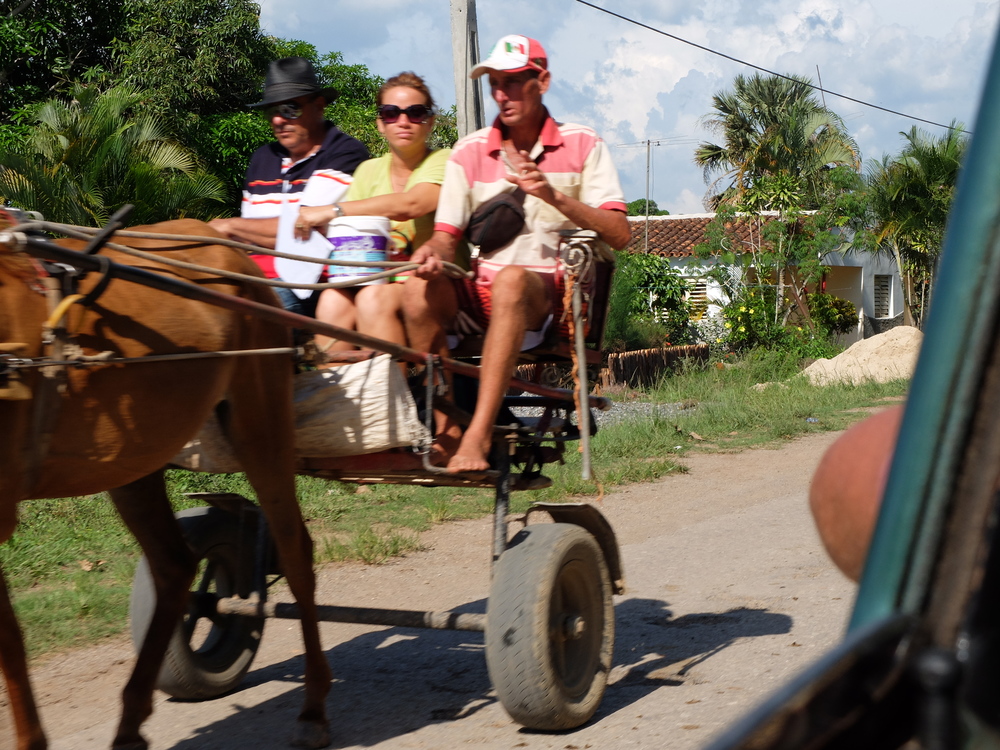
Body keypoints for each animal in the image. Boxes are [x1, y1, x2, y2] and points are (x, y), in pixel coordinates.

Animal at [0, 214, 330, 748]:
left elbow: (7, 635)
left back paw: (314, 707)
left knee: (295, 549)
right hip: (134, 457)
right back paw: (131, 723)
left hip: (261, 422)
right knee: (175, 566)